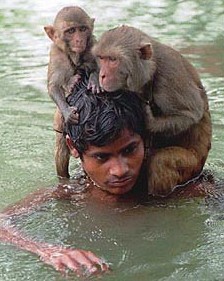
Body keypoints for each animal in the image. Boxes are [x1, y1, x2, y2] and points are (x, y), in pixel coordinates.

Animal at [44, 6, 98, 177]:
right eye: (71, 31)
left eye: (82, 29)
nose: (79, 40)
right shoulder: (56, 54)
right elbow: (53, 86)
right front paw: (68, 111)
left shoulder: (92, 44)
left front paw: (95, 79)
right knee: (61, 151)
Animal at [91, 25, 212, 196]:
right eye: (102, 58)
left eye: (113, 60)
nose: (102, 75)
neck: (151, 68)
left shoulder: (169, 76)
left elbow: (190, 114)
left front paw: (148, 122)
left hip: (193, 165)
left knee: (160, 162)